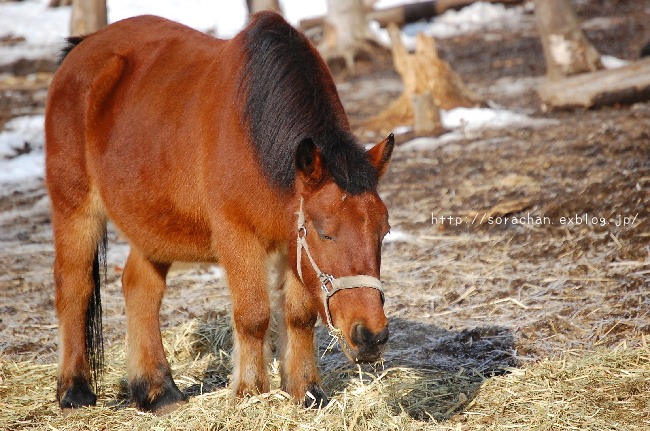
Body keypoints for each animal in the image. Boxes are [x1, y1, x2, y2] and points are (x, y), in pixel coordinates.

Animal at [45, 11, 392, 414]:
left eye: (383, 232)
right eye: (325, 232)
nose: (370, 336)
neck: (256, 132)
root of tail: (81, 48)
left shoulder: (291, 245)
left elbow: (299, 316)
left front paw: (306, 391)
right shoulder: (236, 235)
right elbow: (253, 315)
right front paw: (250, 393)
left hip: (151, 224)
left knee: (140, 287)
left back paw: (157, 389)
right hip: (73, 206)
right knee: (73, 287)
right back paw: (74, 389)